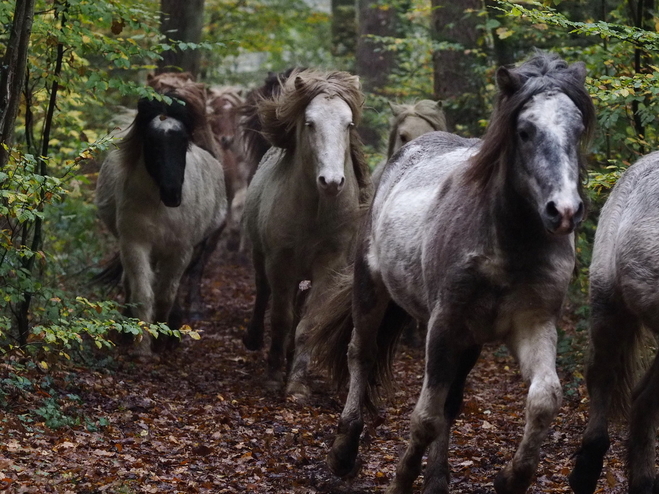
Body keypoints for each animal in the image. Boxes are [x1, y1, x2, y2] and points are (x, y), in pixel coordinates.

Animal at [94, 88, 229, 356]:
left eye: (183, 141)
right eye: (151, 141)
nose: (172, 193)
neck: (159, 206)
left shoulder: (181, 250)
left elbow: (166, 294)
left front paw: (162, 338)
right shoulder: (135, 244)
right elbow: (144, 293)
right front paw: (142, 346)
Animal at [241, 69, 372, 400]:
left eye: (348, 124)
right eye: (310, 123)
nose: (332, 181)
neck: (314, 210)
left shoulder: (328, 266)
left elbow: (307, 324)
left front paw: (297, 383)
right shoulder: (280, 263)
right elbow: (280, 318)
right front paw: (274, 376)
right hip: (260, 257)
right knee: (263, 292)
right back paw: (254, 338)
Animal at [312, 52, 596, 492]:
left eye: (578, 128)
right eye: (525, 131)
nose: (564, 211)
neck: (507, 242)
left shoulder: (531, 324)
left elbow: (545, 398)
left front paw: (511, 477)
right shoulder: (444, 325)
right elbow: (426, 417)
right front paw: (401, 479)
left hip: (469, 339)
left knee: (453, 398)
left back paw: (437, 479)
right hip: (371, 287)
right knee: (361, 354)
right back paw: (344, 452)